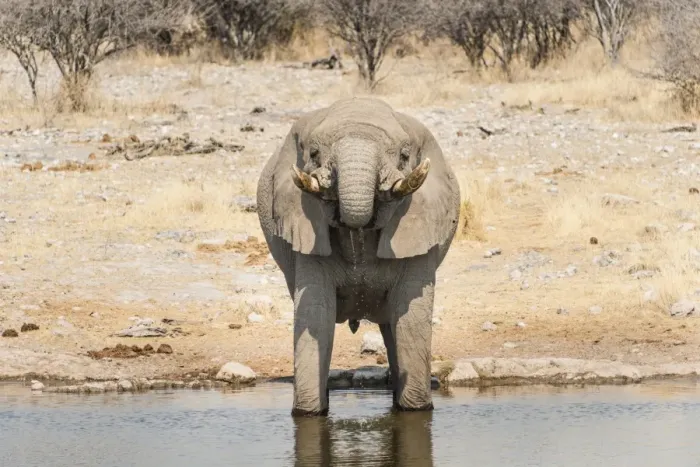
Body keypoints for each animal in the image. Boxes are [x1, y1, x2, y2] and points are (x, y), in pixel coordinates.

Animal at [256, 97, 461, 416]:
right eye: (313, 154)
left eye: (404, 156)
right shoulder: (305, 227)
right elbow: (315, 313)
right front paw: (308, 413)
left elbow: (410, 315)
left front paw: (416, 410)